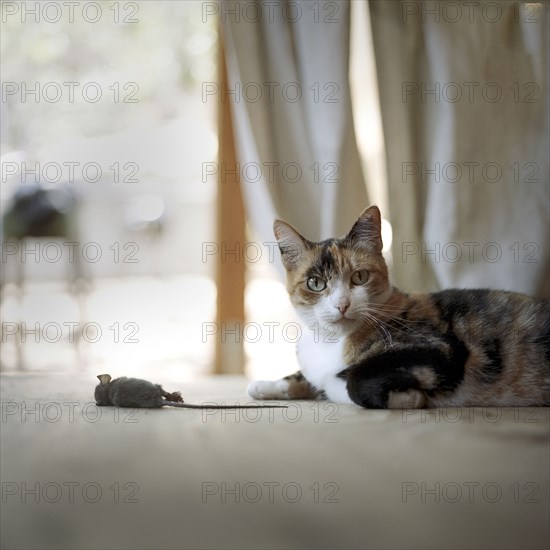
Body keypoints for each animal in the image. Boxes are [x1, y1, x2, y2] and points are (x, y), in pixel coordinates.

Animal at [250, 207, 550, 410]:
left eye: (360, 277)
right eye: (315, 283)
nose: (342, 305)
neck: (331, 342)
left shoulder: (438, 347)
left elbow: (352, 381)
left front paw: (408, 398)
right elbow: (308, 377)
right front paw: (265, 384)